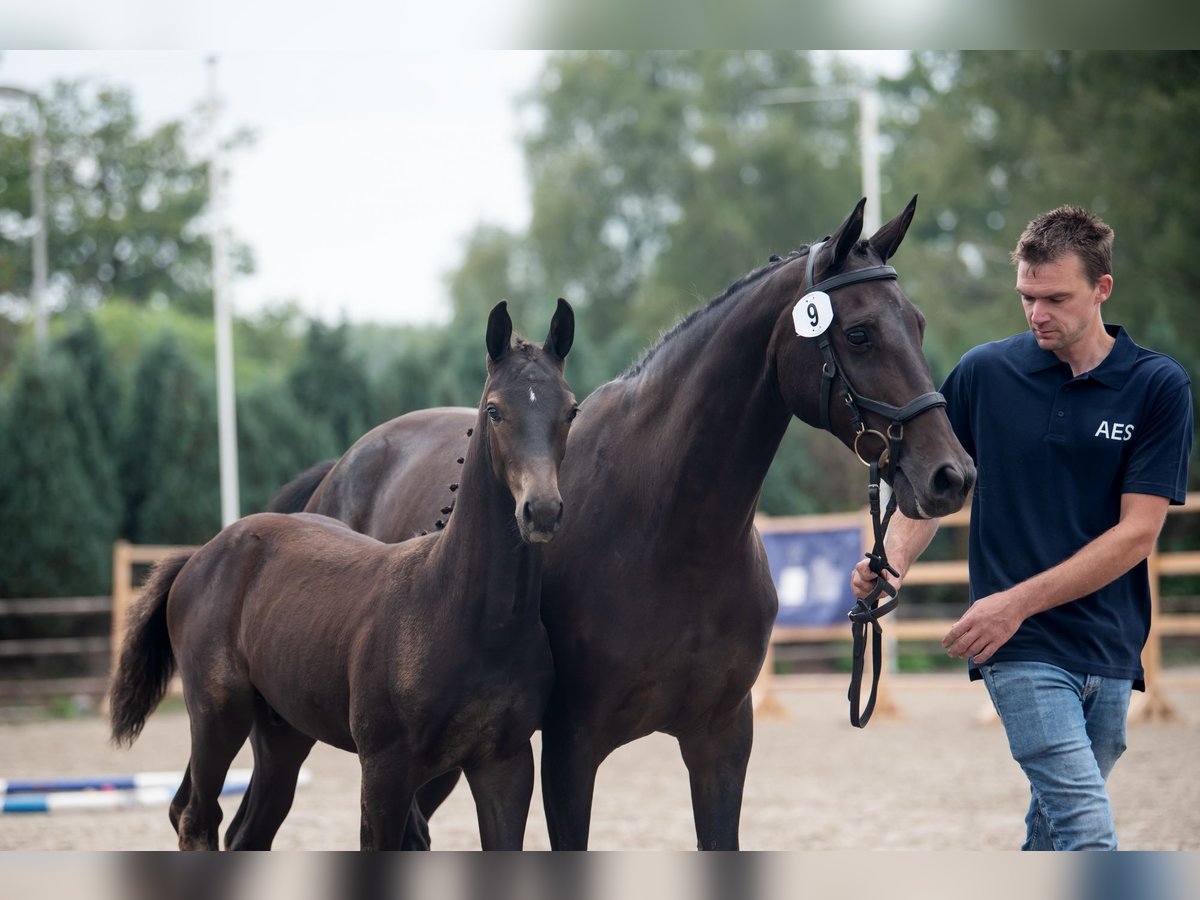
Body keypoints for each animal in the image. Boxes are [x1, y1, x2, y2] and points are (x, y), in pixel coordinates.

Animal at [110, 300, 578, 849]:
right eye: (494, 410)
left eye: (571, 409)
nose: (541, 511)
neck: (467, 615)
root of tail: (205, 552)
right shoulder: (384, 769)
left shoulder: (505, 765)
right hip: (215, 715)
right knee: (195, 818)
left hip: (282, 730)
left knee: (247, 827)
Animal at [267, 199, 969, 854]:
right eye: (859, 334)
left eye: (917, 323)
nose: (951, 475)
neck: (672, 535)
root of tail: (345, 465)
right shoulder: (569, 749)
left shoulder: (720, 740)